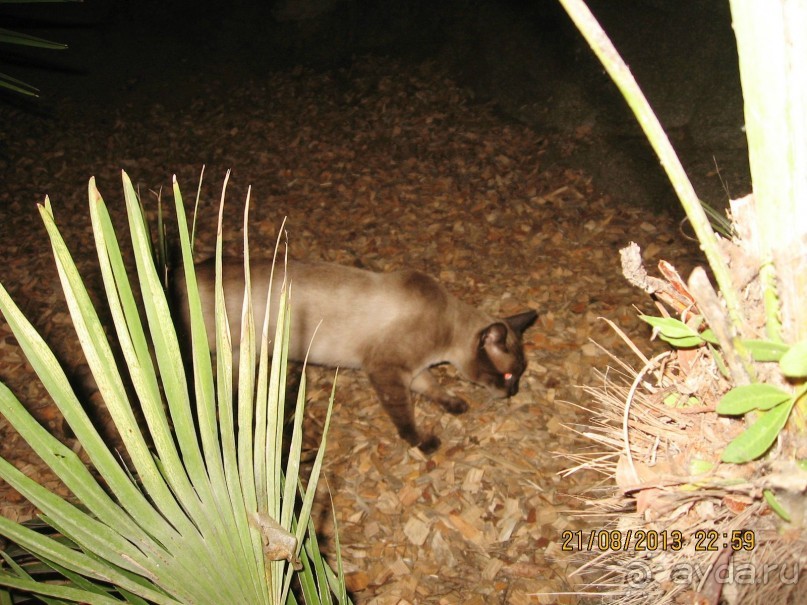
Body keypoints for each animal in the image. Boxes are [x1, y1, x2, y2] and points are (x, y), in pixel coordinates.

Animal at [172, 260, 536, 452]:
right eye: (507, 376)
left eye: (519, 376)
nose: (513, 393)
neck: (446, 327)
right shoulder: (386, 370)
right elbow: (404, 415)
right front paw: (421, 442)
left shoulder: (413, 371)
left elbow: (434, 388)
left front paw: (455, 404)